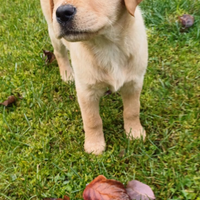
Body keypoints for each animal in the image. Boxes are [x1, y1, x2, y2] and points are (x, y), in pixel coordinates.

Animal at [40, 0, 147, 155]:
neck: (106, 44)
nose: (61, 13)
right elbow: (92, 120)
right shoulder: (86, 91)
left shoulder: (134, 82)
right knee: (60, 53)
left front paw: (135, 133)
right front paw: (94, 146)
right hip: (53, 30)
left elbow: (132, 111)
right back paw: (67, 75)